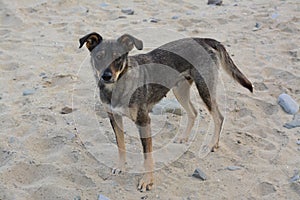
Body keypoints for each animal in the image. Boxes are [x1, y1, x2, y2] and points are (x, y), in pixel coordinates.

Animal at [78, 32, 252, 191]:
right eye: (99, 56)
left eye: (118, 58)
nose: (106, 76)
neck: (117, 86)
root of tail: (204, 39)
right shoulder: (114, 118)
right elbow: (121, 145)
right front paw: (120, 166)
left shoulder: (143, 121)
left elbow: (147, 156)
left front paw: (147, 181)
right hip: (180, 89)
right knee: (194, 112)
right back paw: (184, 137)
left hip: (205, 88)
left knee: (218, 117)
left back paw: (212, 144)